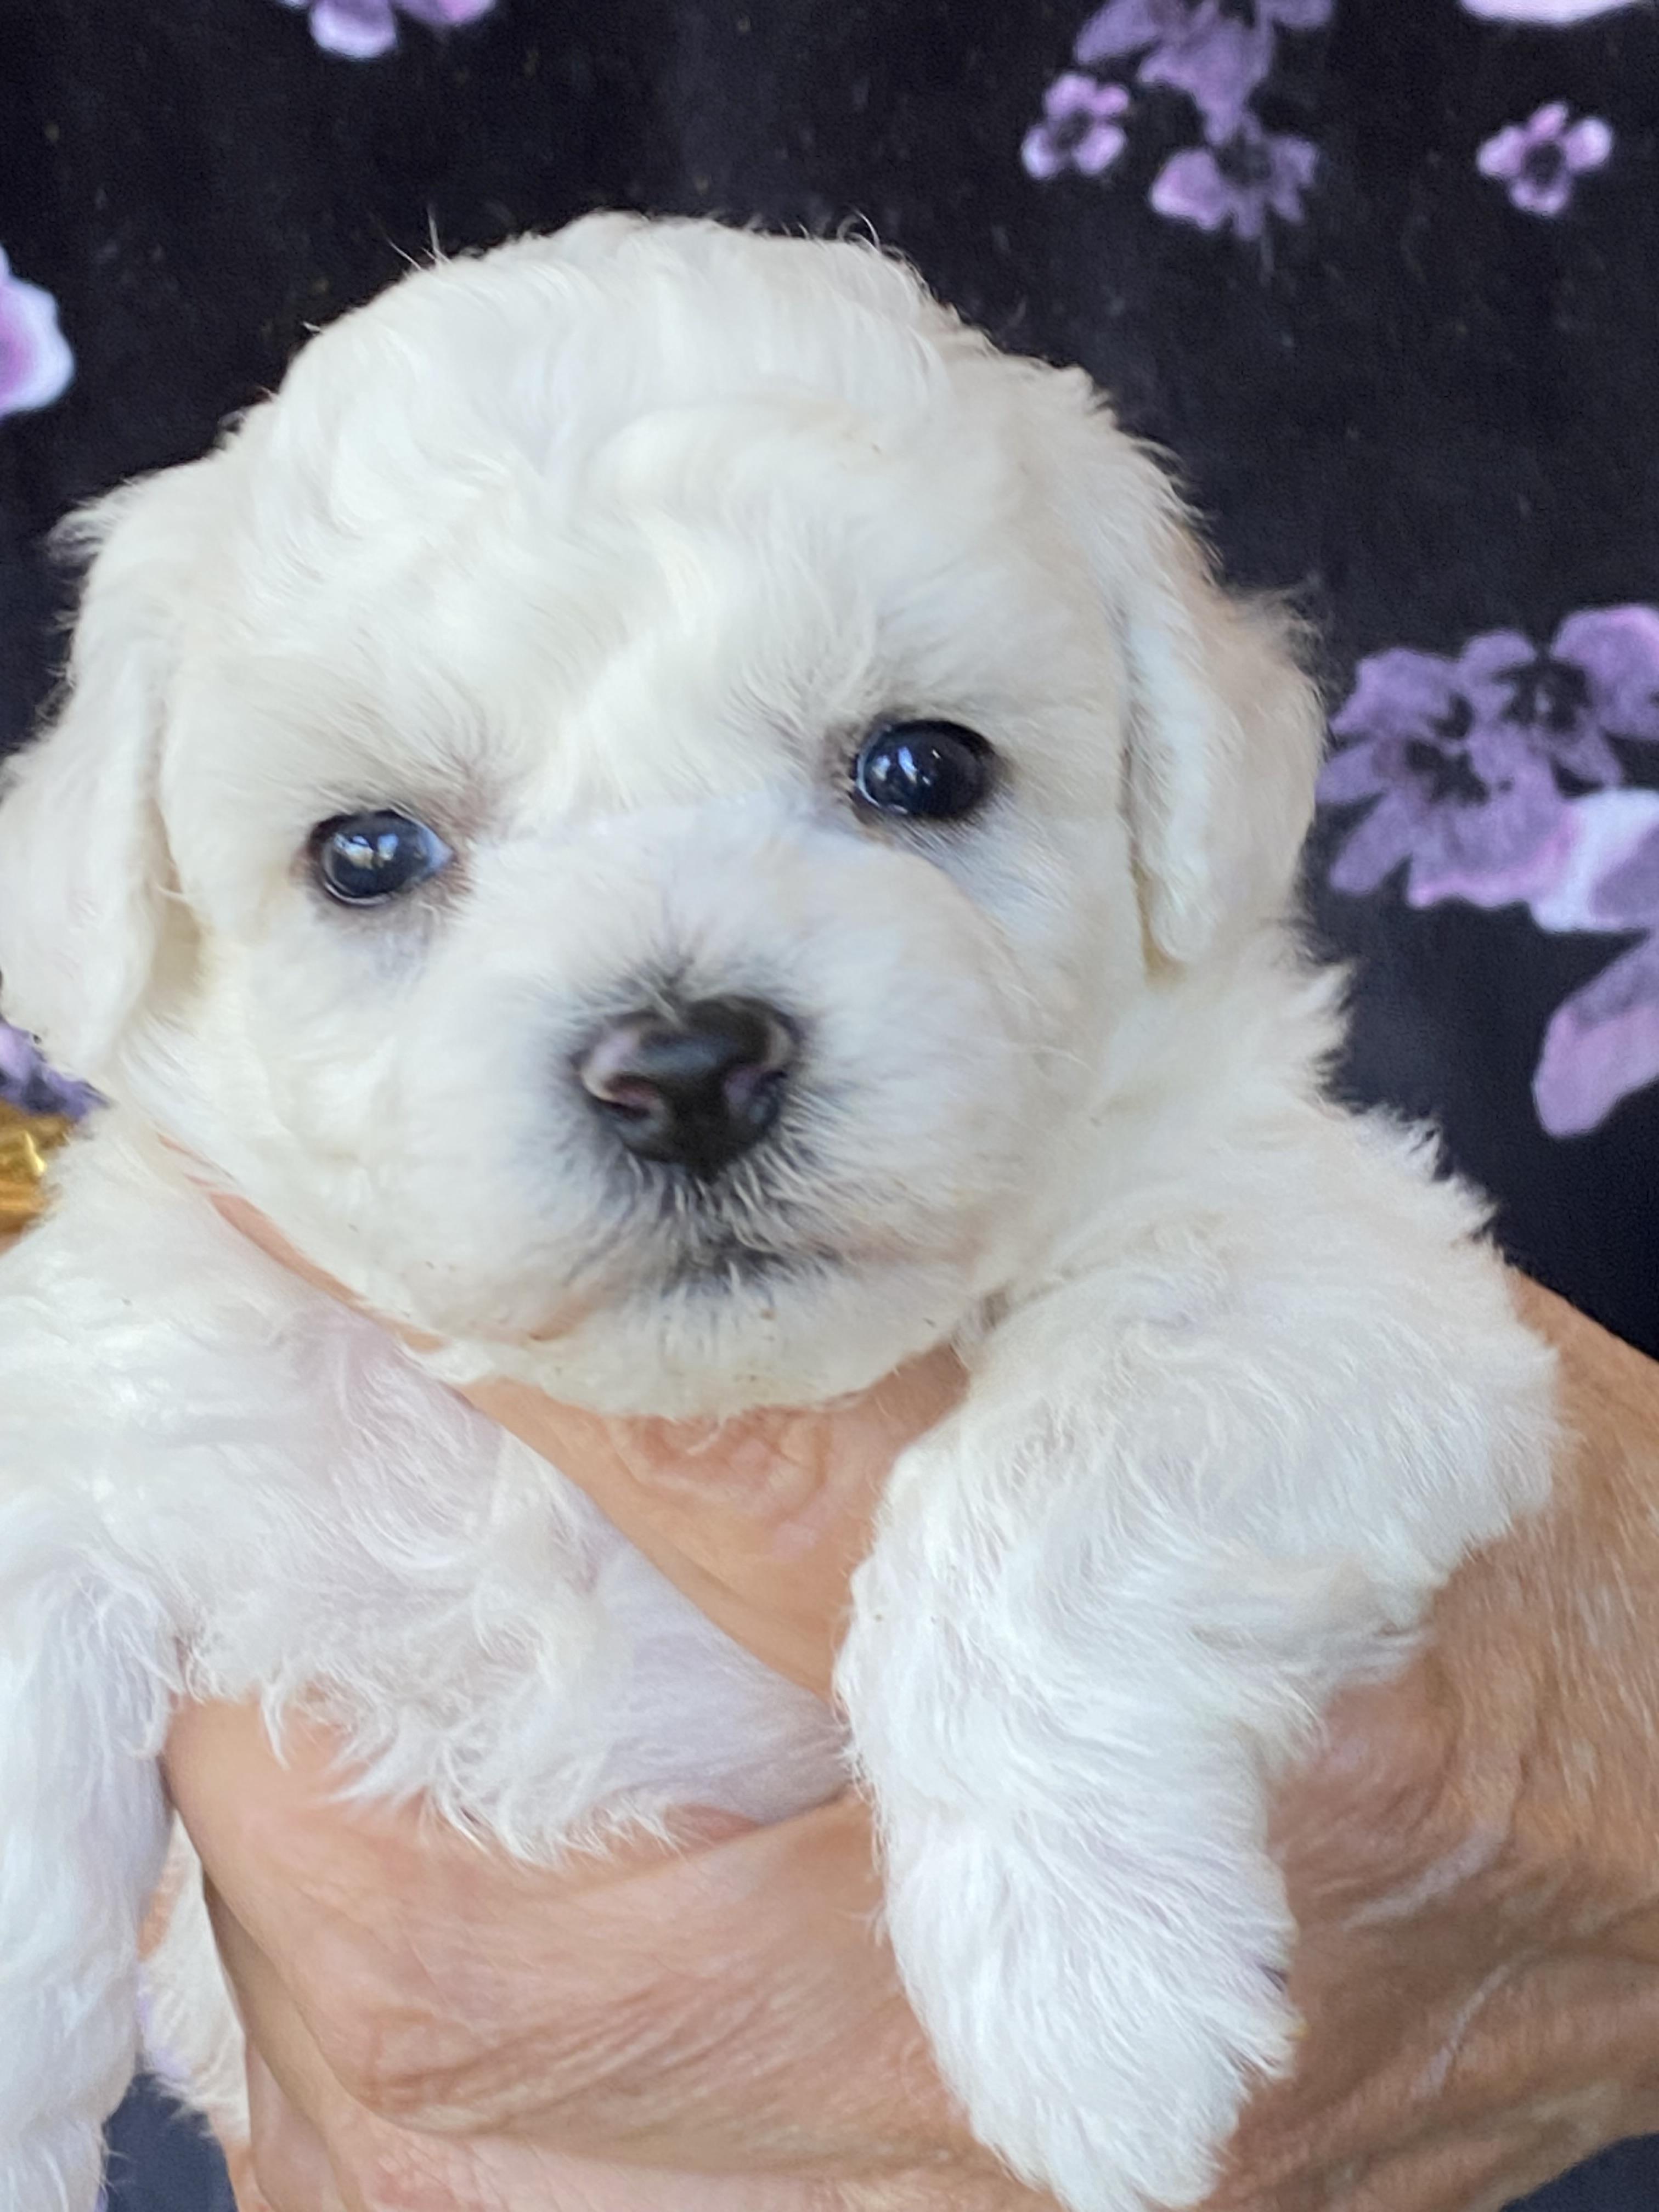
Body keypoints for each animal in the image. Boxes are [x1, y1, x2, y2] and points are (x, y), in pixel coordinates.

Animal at [0, 214, 1554, 2212]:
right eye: (367, 854)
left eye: (923, 768)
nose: (684, 1070)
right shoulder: (121, 1397)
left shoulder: (1336, 1276)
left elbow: (1040, 1474)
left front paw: (1091, 1999)